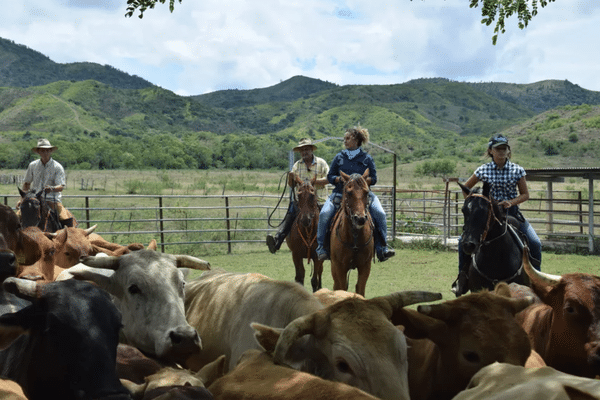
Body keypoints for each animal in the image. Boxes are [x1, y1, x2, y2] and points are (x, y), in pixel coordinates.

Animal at [330, 167, 372, 296]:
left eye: (366, 192)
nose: (360, 219)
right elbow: (342, 288)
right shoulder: (339, 266)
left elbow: (360, 289)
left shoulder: (365, 266)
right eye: (349, 192)